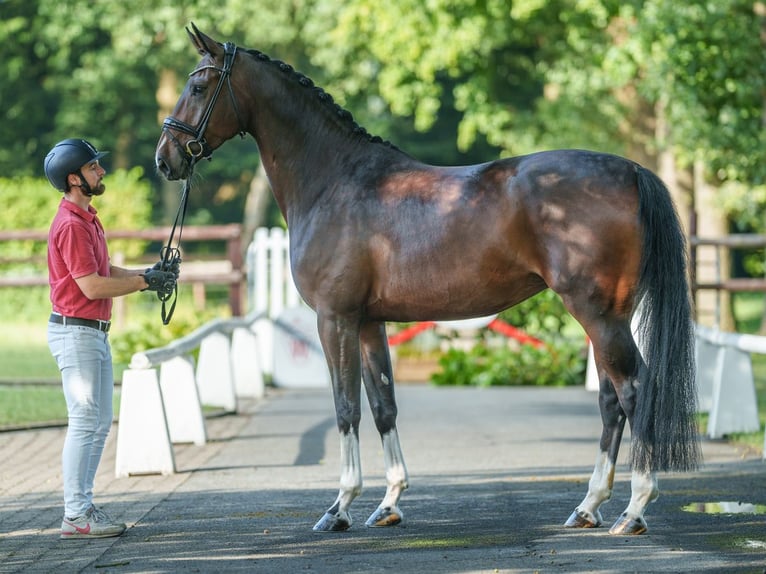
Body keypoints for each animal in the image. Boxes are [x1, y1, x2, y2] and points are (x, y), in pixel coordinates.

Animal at [154, 25, 704, 540]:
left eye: (199, 85)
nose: (166, 158)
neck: (335, 181)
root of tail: (630, 171)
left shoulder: (335, 319)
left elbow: (346, 408)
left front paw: (338, 508)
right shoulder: (368, 323)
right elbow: (383, 406)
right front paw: (388, 504)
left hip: (596, 313)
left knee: (634, 391)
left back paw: (633, 511)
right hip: (606, 316)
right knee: (611, 400)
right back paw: (588, 508)